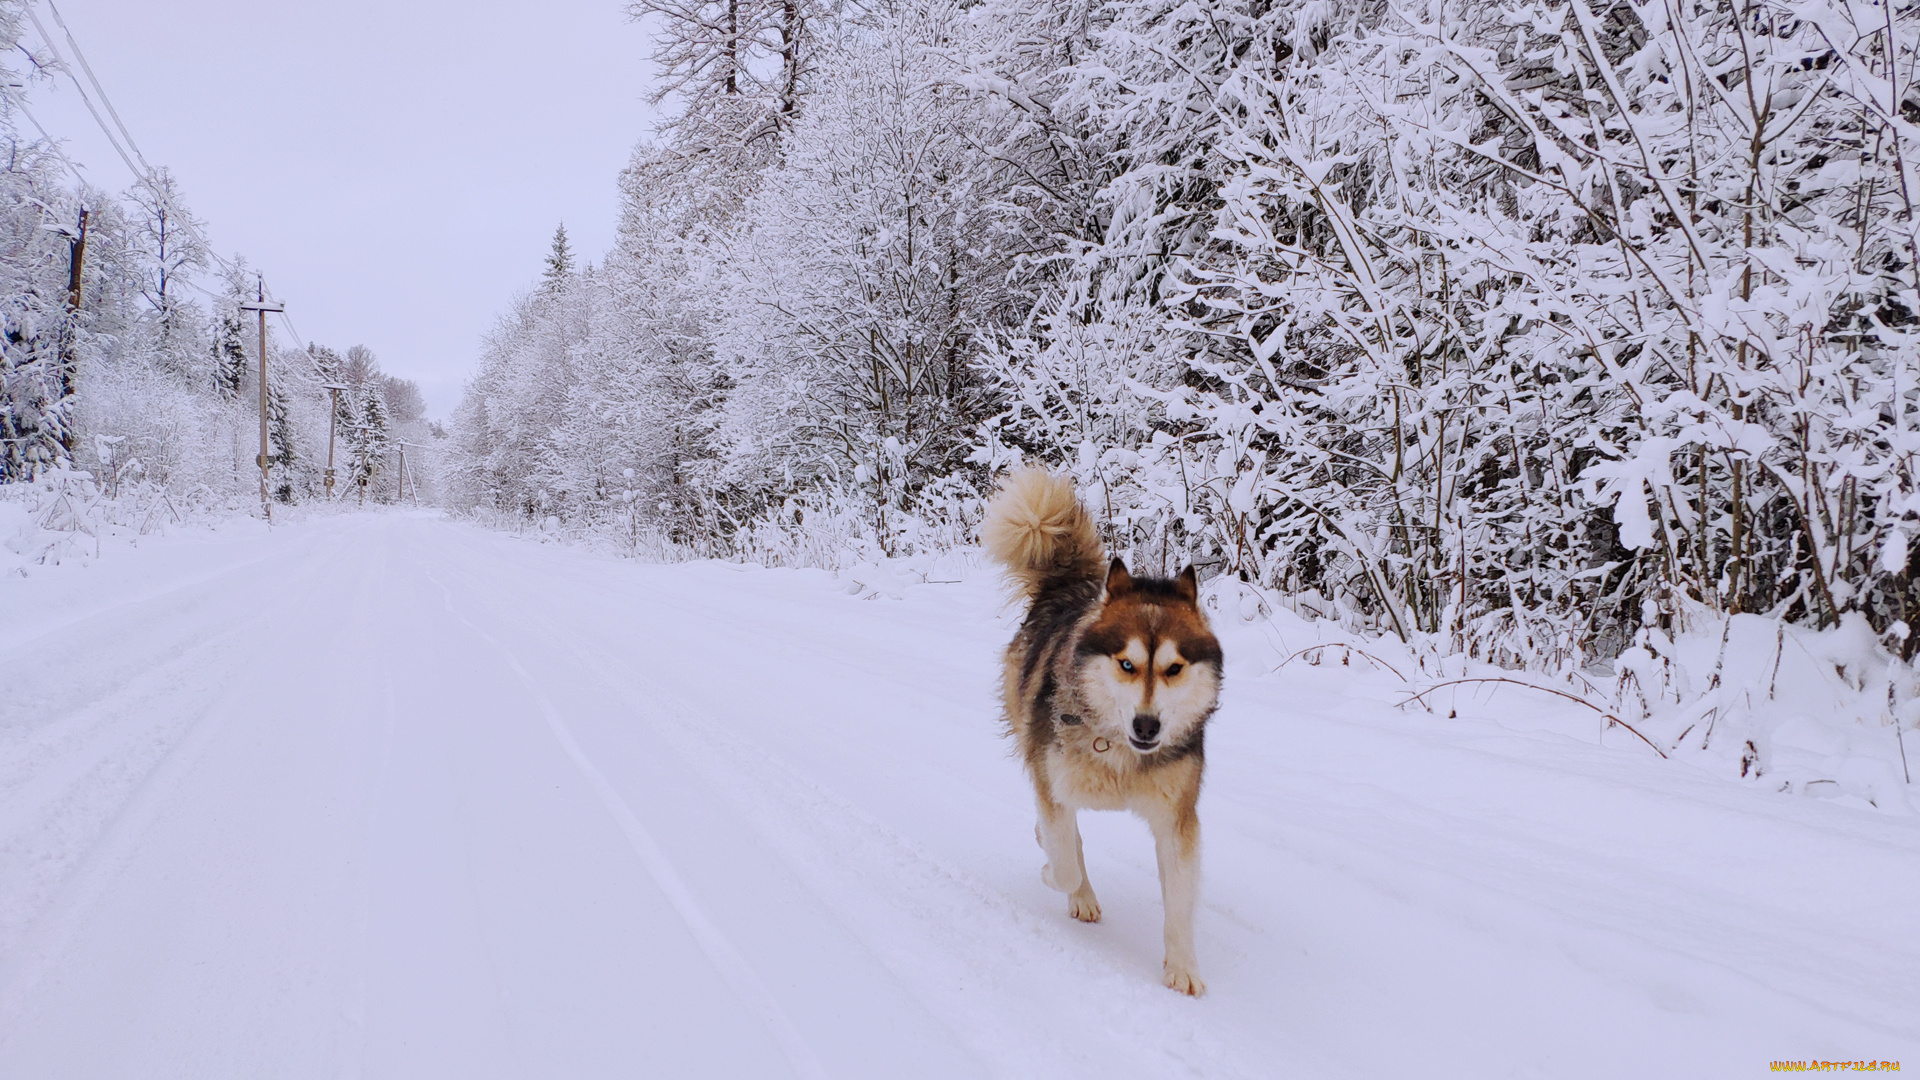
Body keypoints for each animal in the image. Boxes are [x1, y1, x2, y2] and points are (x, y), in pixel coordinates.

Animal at [983, 468, 1221, 991]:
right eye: (1126, 664)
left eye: (1174, 668)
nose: (1147, 725)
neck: (1120, 753)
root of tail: (1068, 588)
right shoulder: (1053, 783)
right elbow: (1065, 860)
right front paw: (1058, 878)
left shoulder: (1177, 819)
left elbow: (1180, 900)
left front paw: (1183, 966)